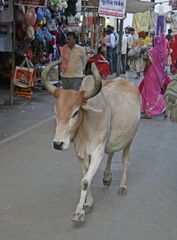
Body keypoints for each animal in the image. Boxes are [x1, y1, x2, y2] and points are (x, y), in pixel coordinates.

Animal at [41, 61, 141, 222]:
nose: (58, 144)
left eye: (75, 112)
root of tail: (126, 82)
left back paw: (122, 186)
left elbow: (85, 181)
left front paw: (78, 212)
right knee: (111, 153)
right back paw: (107, 178)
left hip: (130, 138)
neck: (86, 124)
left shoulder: (97, 151)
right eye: (56, 111)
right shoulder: (80, 154)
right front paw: (88, 204)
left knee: (125, 160)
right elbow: (87, 178)